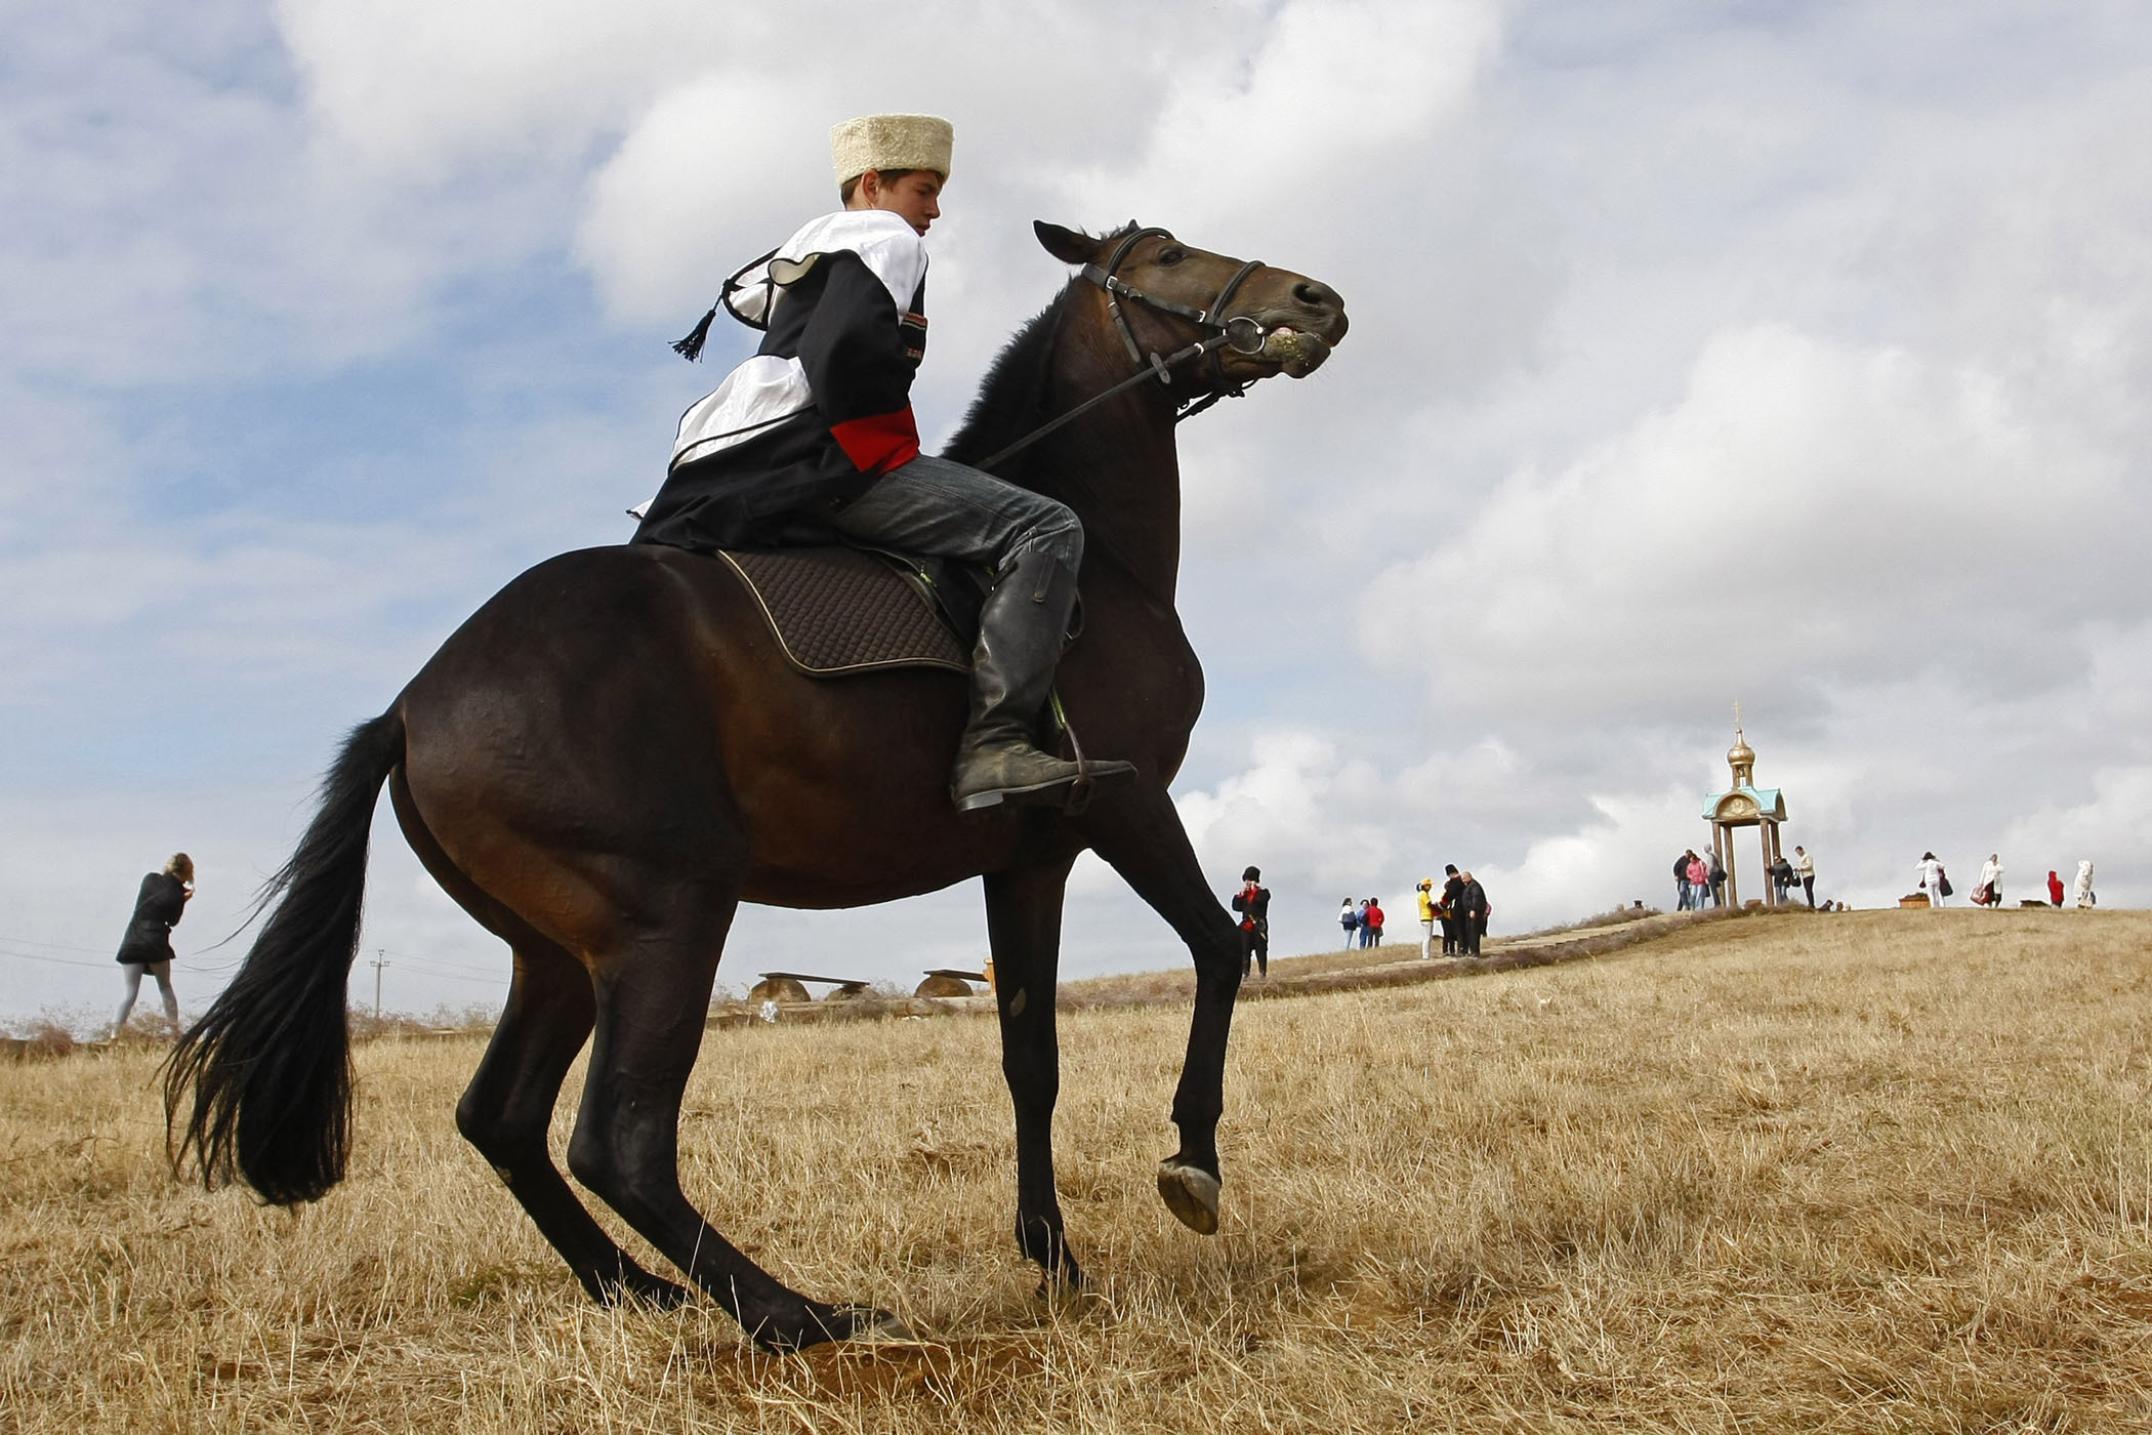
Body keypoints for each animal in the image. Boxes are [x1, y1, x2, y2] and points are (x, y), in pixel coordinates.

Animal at [172, 219, 1342, 1351]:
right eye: (1166, 254)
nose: (1315, 299)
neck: (1097, 558)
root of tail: (414, 703)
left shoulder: (1028, 860)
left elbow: (1030, 1059)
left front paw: (1054, 1258)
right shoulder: (1125, 804)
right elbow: (1217, 947)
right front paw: (1192, 1165)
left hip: (556, 955)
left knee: (500, 1118)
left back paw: (638, 1289)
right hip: (668, 920)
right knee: (619, 1143)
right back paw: (796, 1316)